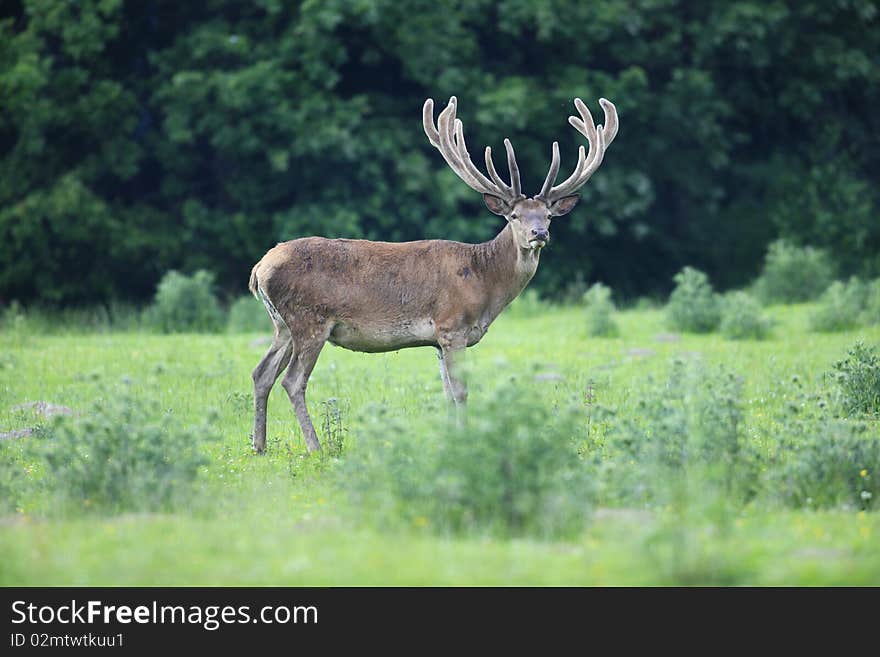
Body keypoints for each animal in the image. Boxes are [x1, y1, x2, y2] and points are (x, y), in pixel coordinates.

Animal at [248, 95, 620, 452]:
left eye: (548, 215)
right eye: (514, 216)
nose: (539, 233)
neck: (484, 282)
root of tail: (259, 269)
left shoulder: (437, 340)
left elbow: (446, 393)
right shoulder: (452, 325)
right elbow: (461, 391)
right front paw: (467, 441)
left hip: (282, 325)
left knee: (261, 373)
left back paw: (259, 446)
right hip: (310, 320)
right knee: (292, 380)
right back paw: (315, 447)